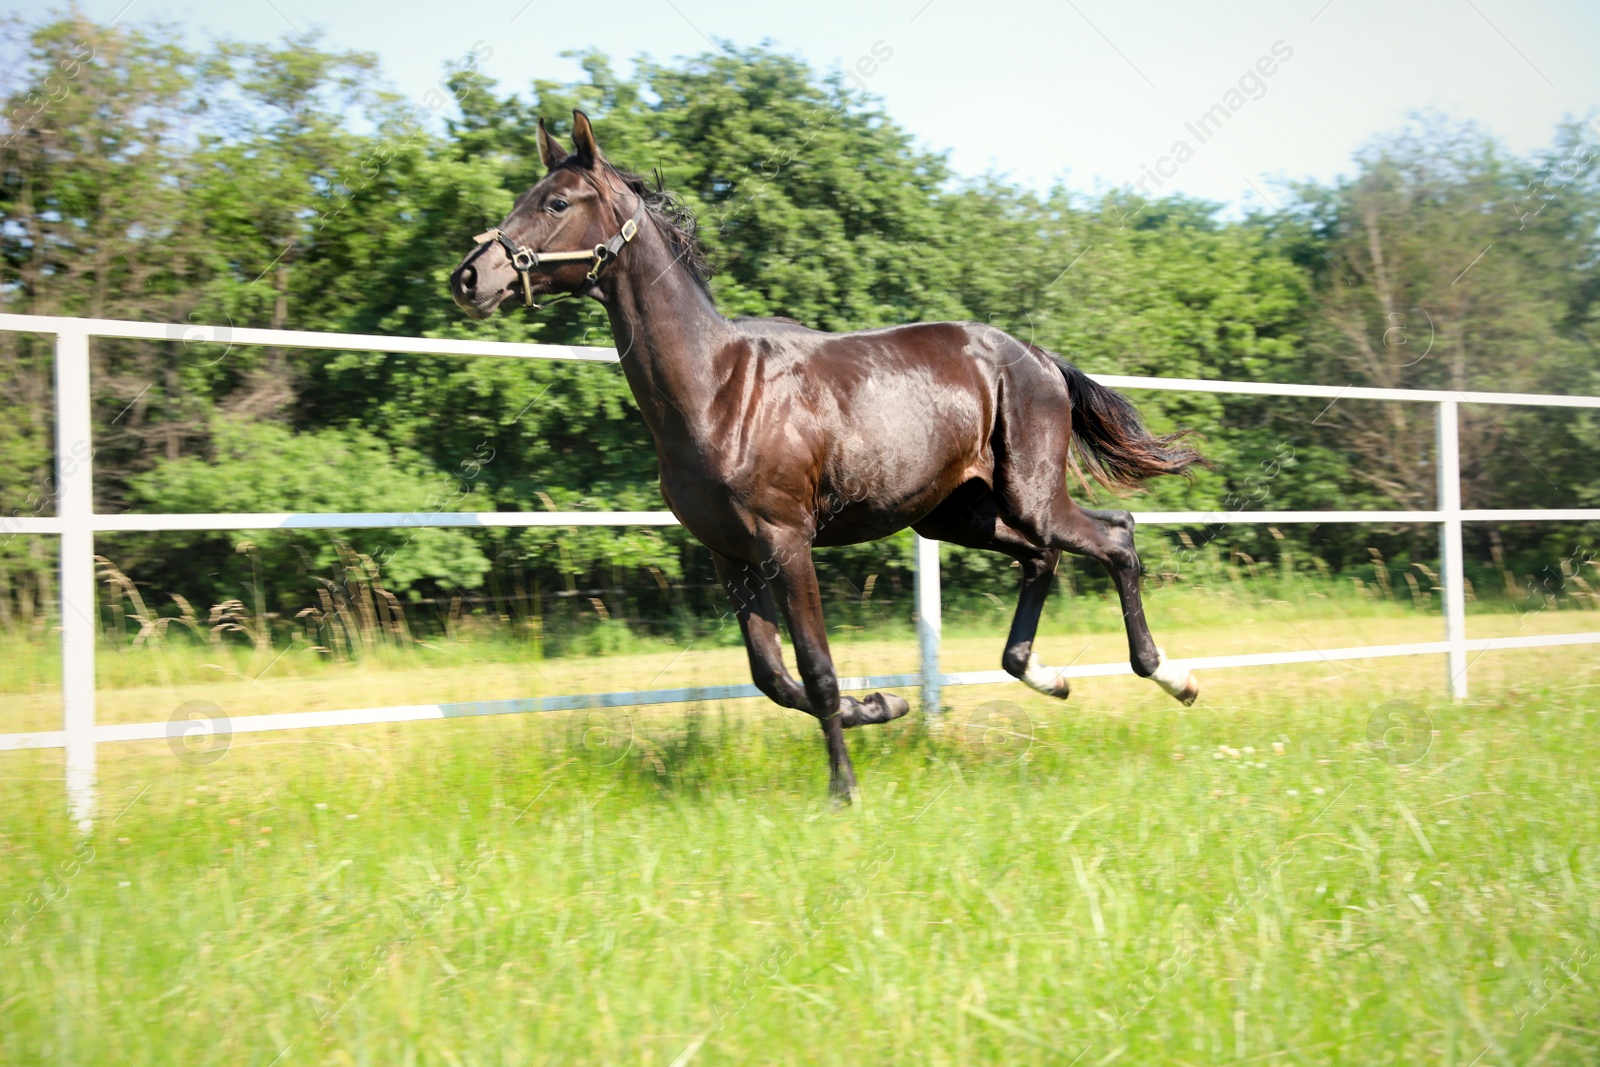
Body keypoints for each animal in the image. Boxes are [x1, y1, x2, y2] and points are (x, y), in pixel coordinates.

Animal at [451, 112, 1203, 806]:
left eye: (556, 202)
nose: (469, 278)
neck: (717, 389)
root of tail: (1039, 358)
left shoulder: (785, 542)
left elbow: (815, 669)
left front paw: (844, 788)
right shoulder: (731, 556)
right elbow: (773, 677)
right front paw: (882, 704)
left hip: (1028, 496)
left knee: (1115, 538)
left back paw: (1173, 676)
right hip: (955, 514)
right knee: (1046, 557)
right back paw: (1047, 675)